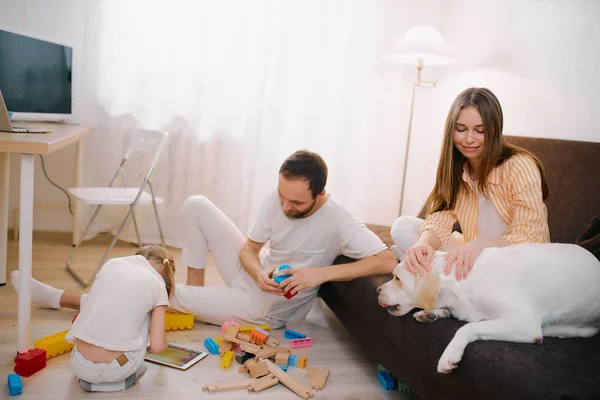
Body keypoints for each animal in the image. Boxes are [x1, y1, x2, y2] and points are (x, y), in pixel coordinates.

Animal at [378, 241, 600, 376]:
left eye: (397, 279)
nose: (377, 290)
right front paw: (430, 314)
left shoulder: (525, 322)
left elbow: (466, 328)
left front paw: (451, 354)